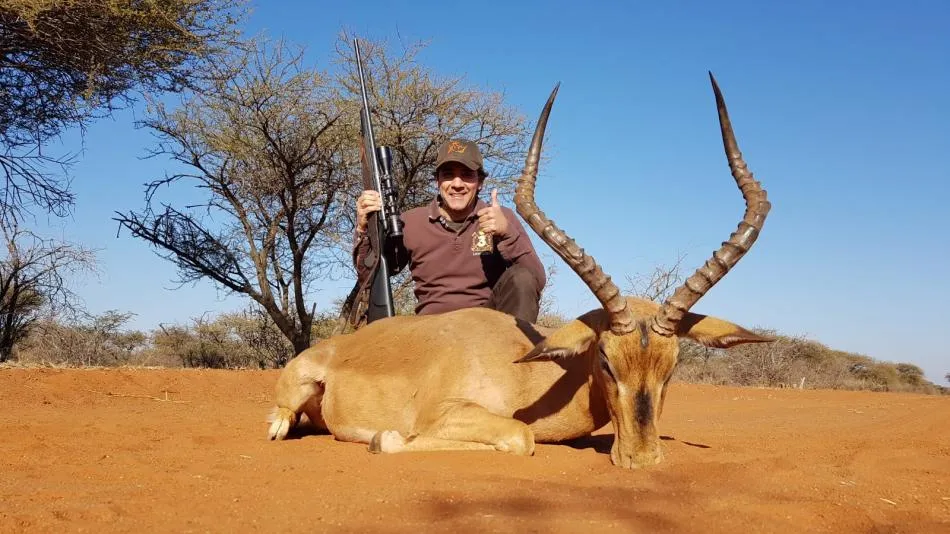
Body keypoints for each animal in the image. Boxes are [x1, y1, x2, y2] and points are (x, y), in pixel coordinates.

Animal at [268, 74, 772, 468]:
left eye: (671, 367)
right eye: (606, 360)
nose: (643, 459)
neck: (529, 373)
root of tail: (334, 348)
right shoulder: (445, 414)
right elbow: (519, 435)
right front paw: (381, 438)